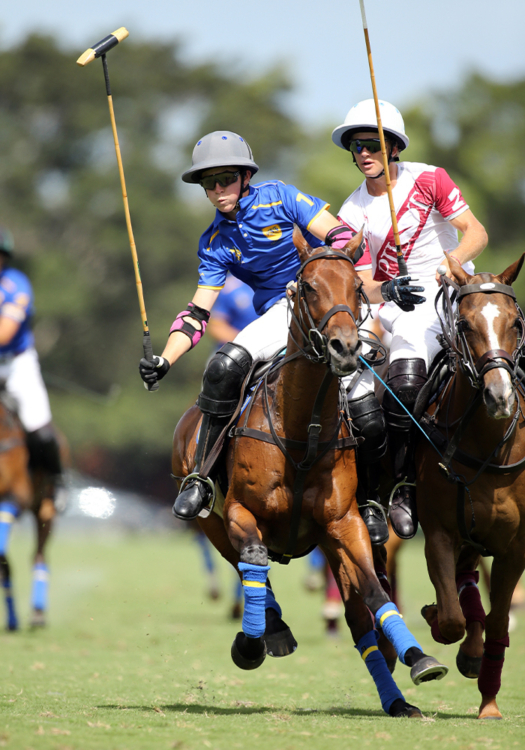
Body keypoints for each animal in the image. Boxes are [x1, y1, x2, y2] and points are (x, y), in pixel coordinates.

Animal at [172, 232, 446, 720]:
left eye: (357, 289)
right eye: (309, 287)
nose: (345, 348)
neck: (303, 426)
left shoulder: (343, 523)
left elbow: (372, 590)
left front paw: (419, 659)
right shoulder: (240, 512)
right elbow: (254, 559)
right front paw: (252, 642)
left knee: (359, 616)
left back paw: (395, 697)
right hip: (210, 522)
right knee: (244, 563)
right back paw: (270, 631)